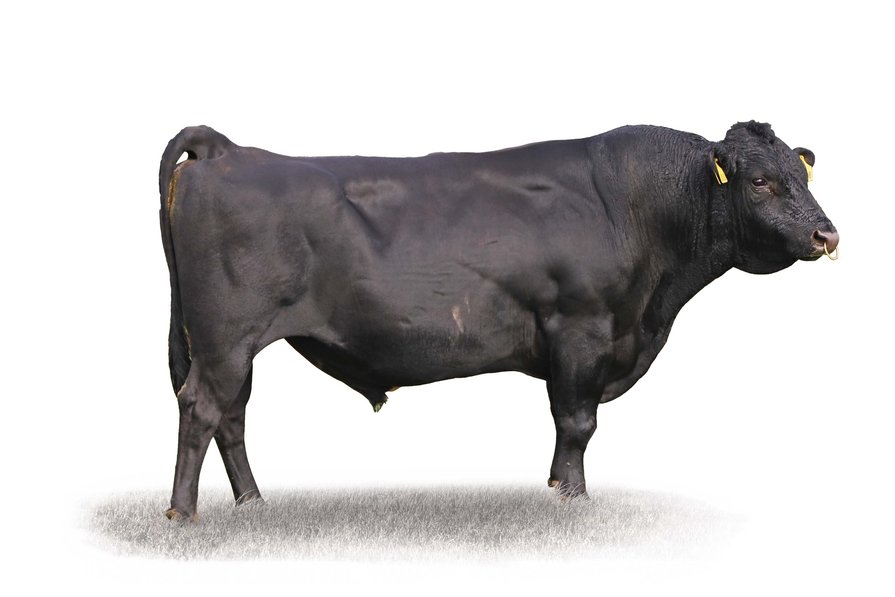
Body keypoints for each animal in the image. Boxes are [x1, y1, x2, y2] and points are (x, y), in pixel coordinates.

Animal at [159, 121, 838, 521]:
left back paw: (252, 504)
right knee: (202, 408)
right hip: (225, 339)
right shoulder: (581, 328)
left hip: (231, 345)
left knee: (232, 415)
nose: (826, 235)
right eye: (760, 180)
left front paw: (556, 489)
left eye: (802, 173)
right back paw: (183, 515)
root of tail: (228, 150)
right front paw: (572, 499)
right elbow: (577, 422)